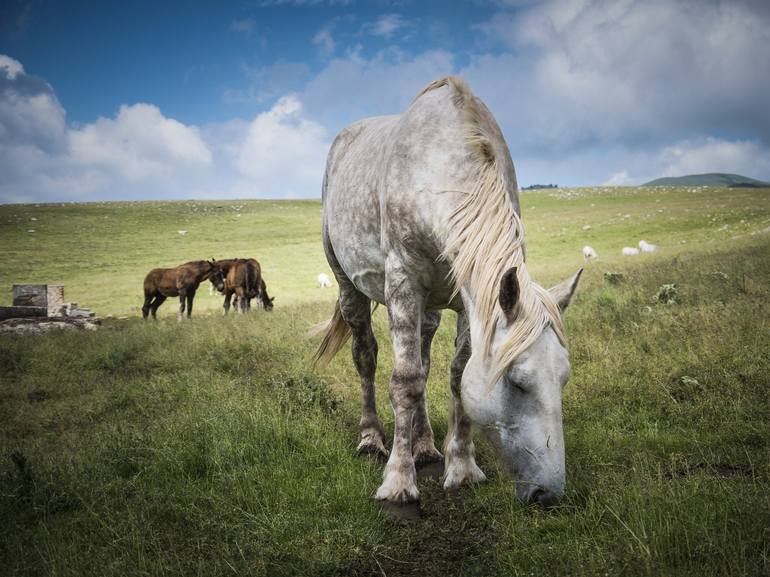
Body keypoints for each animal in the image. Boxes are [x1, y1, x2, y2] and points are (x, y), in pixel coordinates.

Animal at [316, 76, 580, 504]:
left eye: (563, 378)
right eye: (517, 382)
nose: (549, 493)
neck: (436, 168)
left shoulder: (468, 301)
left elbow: (456, 377)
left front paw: (462, 468)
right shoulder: (403, 283)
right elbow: (404, 382)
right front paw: (398, 480)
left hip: (431, 308)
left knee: (423, 361)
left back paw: (424, 445)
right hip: (348, 287)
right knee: (367, 358)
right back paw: (371, 438)